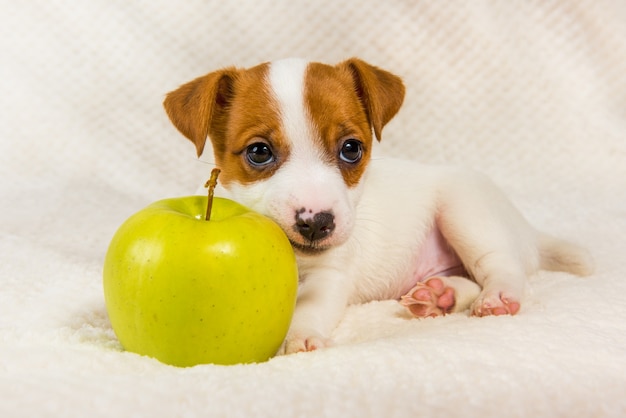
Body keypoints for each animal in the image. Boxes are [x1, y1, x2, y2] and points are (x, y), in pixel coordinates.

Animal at [161, 57, 588, 354]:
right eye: (259, 152)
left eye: (351, 148)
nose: (317, 222)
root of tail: (526, 229)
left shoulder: (330, 275)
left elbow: (309, 309)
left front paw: (300, 338)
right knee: (467, 278)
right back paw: (439, 295)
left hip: (466, 210)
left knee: (502, 266)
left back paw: (496, 295)